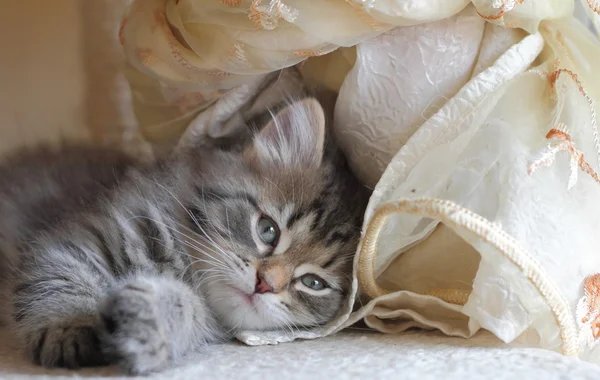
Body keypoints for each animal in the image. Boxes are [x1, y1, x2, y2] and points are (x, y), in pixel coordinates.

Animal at [0, 95, 370, 374]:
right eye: (268, 230)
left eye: (314, 283)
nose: (265, 284)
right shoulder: (81, 237)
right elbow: (62, 280)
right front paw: (69, 327)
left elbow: (186, 308)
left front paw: (149, 323)